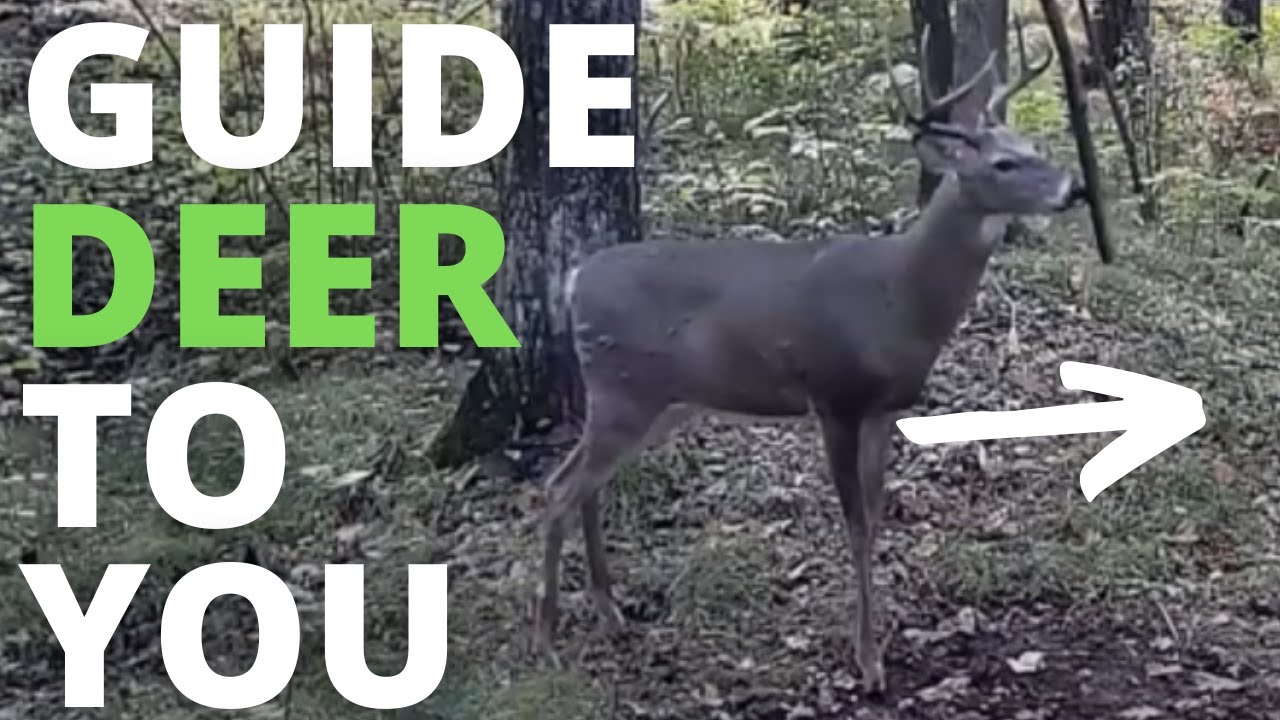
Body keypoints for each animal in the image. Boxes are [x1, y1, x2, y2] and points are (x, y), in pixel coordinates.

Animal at [532, 24, 1086, 694]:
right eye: (1003, 163)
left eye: (1033, 145)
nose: (1074, 189)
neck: (899, 298)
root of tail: (574, 280)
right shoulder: (834, 397)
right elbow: (854, 525)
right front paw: (868, 663)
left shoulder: (884, 411)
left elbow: (875, 517)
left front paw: (881, 641)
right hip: (622, 389)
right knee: (559, 488)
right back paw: (548, 638)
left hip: (656, 401)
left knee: (584, 484)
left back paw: (611, 614)